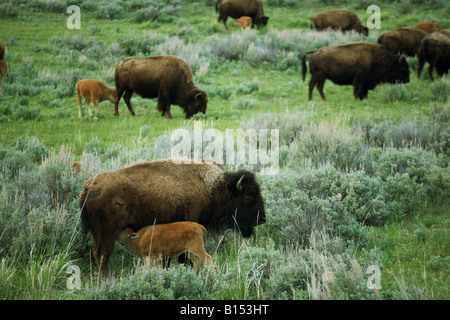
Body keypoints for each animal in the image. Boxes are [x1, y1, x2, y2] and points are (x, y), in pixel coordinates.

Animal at [79, 160, 266, 278]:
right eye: (248, 197)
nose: (263, 218)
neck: (212, 188)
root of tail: (89, 186)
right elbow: (185, 259)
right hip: (107, 233)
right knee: (102, 254)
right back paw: (105, 280)